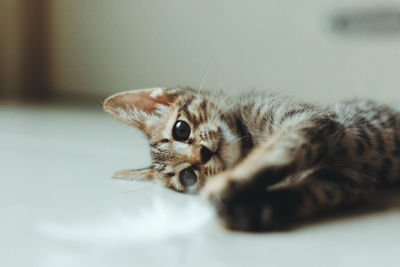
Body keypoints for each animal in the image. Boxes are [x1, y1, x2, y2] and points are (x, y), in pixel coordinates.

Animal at [104, 87, 400, 232]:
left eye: (181, 129)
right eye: (188, 176)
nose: (204, 153)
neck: (249, 142)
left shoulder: (309, 121)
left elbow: (281, 150)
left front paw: (231, 183)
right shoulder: (346, 178)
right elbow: (309, 193)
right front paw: (255, 209)